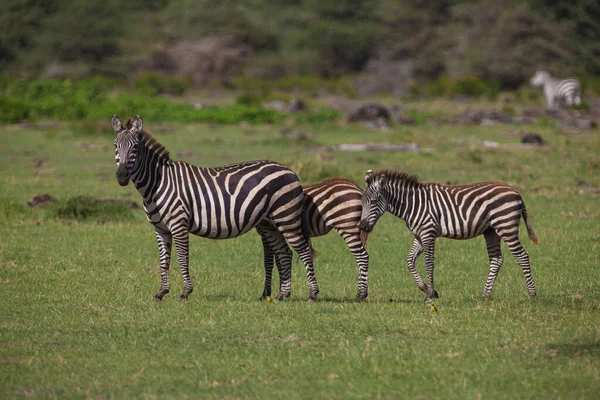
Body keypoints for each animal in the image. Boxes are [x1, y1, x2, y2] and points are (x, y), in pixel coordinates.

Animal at [112, 115, 318, 300]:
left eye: (135, 148)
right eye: (115, 146)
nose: (121, 177)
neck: (158, 184)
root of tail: (290, 170)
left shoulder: (179, 224)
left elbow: (182, 258)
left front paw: (185, 293)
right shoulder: (160, 229)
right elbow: (164, 261)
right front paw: (161, 293)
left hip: (286, 217)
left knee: (304, 252)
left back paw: (313, 294)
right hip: (270, 223)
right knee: (285, 253)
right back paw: (283, 295)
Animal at [356, 170, 540, 304]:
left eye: (373, 202)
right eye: (362, 202)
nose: (362, 226)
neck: (412, 204)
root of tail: (516, 191)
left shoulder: (428, 233)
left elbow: (429, 264)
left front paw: (430, 295)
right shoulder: (420, 235)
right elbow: (409, 260)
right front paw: (428, 290)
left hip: (506, 225)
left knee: (522, 256)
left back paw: (532, 294)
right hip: (491, 231)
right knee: (496, 260)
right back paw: (484, 295)